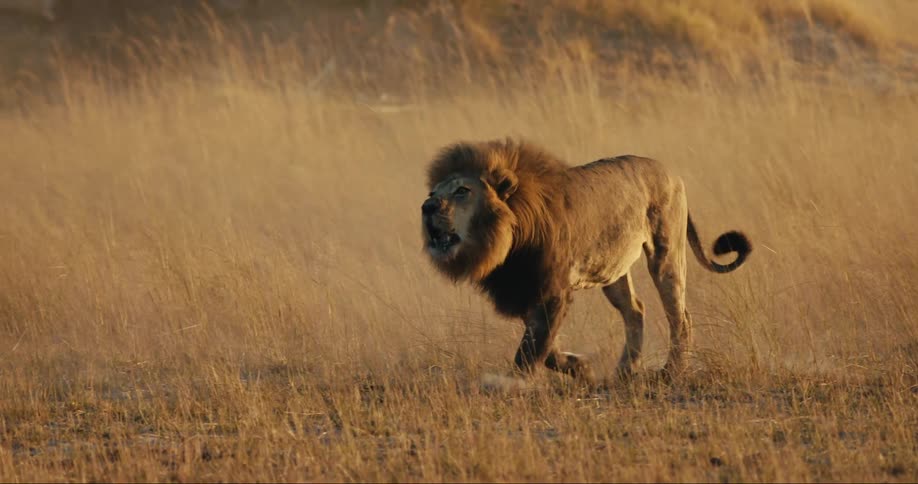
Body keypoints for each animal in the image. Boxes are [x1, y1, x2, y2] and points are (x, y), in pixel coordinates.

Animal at [421, 138, 751, 381]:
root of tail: (672, 173)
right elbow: (545, 346)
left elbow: (530, 349)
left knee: (680, 317)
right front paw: (580, 368)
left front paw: (514, 384)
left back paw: (671, 372)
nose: (427, 206)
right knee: (635, 310)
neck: (506, 241)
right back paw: (625, 371)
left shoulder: (552, 290)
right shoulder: (525, 288)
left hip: (665, 255)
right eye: (433, 192)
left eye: (462, 191)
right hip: (613, 270)